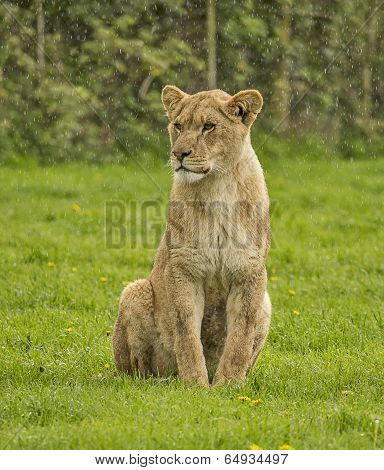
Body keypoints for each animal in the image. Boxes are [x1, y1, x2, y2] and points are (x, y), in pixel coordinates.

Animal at [112, 84, 272, 386]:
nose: (179, 154)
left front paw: (228, 386)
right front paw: (195, 385)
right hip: (135, 291)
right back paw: (160, 382)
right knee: (139, 371)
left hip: (267, 304)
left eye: (208, 127)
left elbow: (240, 338)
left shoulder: (249, 273)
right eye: (178, 125)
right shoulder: (184, 270)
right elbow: (186, 333)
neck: (217, 187)